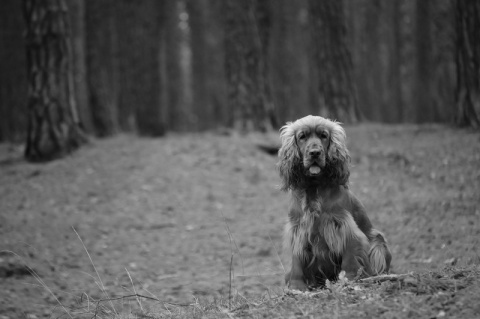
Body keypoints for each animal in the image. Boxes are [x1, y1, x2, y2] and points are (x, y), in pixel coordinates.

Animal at [276, 116, 392, 292]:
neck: (314, 187)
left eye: (323, 135)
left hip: (378, 243)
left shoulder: (343, 225)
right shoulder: (297, 229)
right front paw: (296, 286)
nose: (315, 153)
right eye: (302, 136)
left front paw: (348, 279)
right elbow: (296, 261)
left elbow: (349, 257)